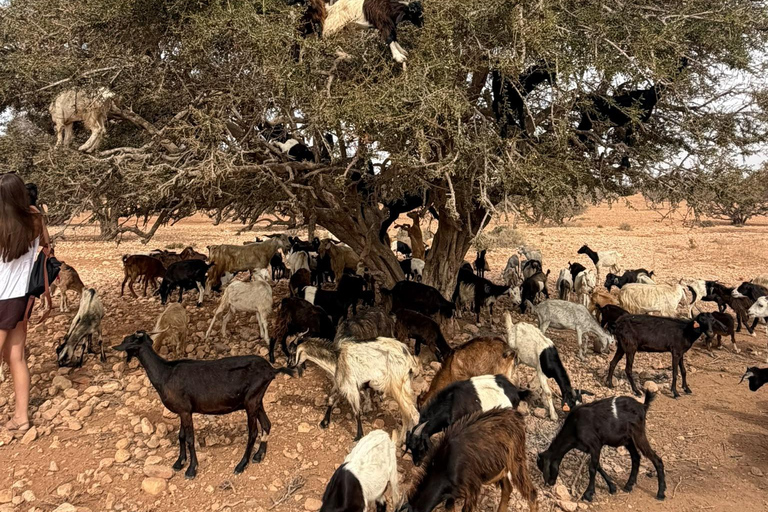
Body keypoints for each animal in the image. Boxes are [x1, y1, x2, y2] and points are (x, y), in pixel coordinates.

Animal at [114, 332, 290, 478]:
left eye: (128, 340)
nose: (114, 347)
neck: (165, 373)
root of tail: (271, 370)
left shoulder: (185, 411)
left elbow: (190, 439)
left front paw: (191, 469)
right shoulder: (183, 411)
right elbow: (181, 436)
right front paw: (179, 462)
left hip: (251, 401)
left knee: (253, 432)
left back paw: (241, 465)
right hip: (256, 400)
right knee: (266, 424)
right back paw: (259, 456)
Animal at [288, 336, 419, 441]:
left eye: (293, 352)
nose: (289, 365)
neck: (336, 359)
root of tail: (409, 360)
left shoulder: (350, 387)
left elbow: (356, 412)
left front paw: (358, 436)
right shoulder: (340, 384)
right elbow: (330, 400)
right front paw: (324, 423)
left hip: (397, 386)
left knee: (413, 415)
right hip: (404, 386)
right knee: (407, 416)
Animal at [398, 408, 538, 512]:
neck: (443, 465)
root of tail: (516, 416)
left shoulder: (472, 488)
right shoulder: (452, 492)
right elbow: (449, 507)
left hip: (516, 461)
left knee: (531, 493)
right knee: (507, 488)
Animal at [537, 392, 666, 502]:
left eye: (546, 467)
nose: (550, 482)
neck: (575, 426)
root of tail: (643, 406)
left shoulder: (595, 445)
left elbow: (592, 468)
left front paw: (588, 494)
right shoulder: (590, 449)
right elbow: (598, 466)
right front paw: (612, 487)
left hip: (638, 434)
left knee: (656, 459)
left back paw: (661, 493)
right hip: (628, 440)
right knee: (636, 457)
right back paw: (629, 485)